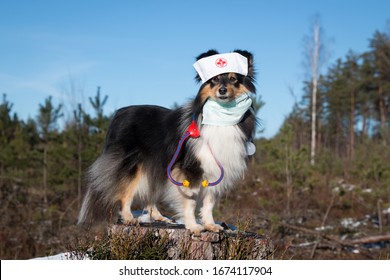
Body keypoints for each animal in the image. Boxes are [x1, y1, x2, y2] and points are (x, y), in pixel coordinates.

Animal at [77, 49, 258, 235]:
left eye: (233, 78)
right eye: (214, 79)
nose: (222, 90)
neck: (220, 118)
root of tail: (119, 114)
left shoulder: (215, 168)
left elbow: (208, 203)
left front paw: (210, 225)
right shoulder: (190, 169)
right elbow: (191, 201)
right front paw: (193, 226)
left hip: (155, 165)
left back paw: (159, 217)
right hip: (133, 166)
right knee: (125, 193)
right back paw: (129, 218)